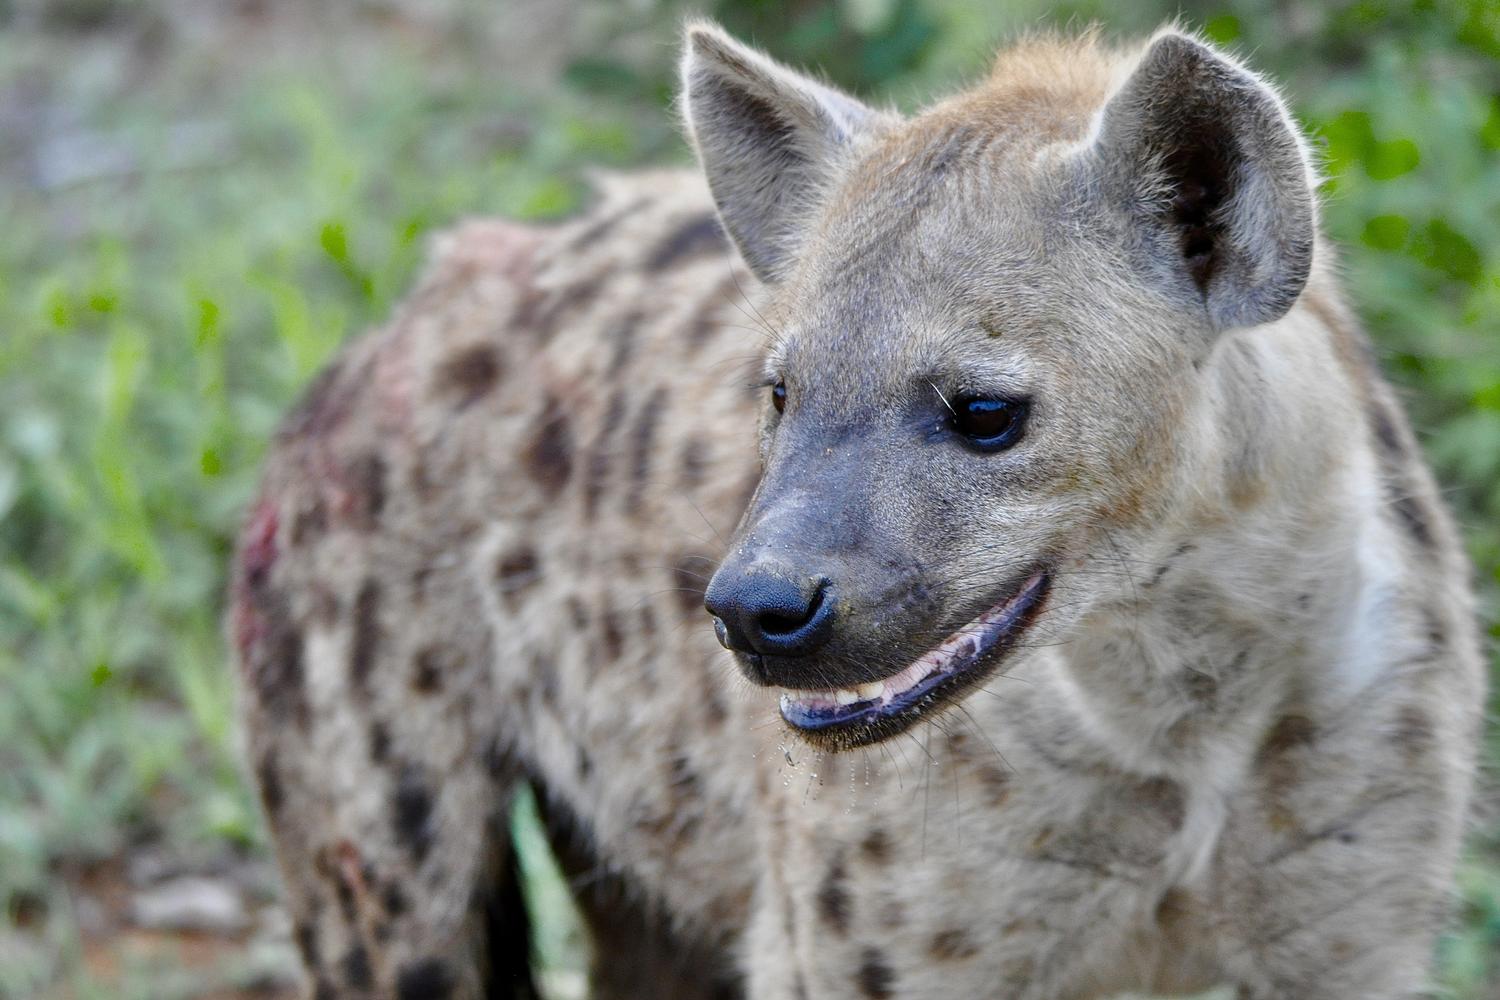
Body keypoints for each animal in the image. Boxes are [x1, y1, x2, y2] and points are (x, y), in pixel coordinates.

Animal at [231, 21, 1486, 1000]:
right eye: (778, 393)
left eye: (985, 412)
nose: (752, 606)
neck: (1183, 699)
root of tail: (401, 311)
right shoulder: (864, 943)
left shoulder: (1355, 916)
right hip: (379, 813)